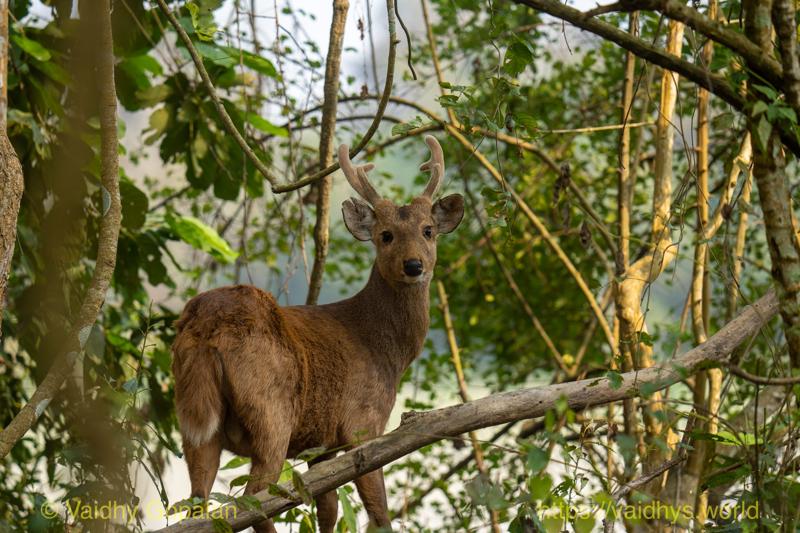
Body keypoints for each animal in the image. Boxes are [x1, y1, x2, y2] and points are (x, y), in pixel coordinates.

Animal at [171, 135, 464, 533]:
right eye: (385, 235)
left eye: (428, 230)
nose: (414, 265)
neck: (384, 349)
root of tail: (206, 322)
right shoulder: (362, 422)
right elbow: (379, 512)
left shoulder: (320, 444)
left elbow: (328, 508)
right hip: (272, 411)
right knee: (254, 499)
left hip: (193, 419)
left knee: (197, 504)